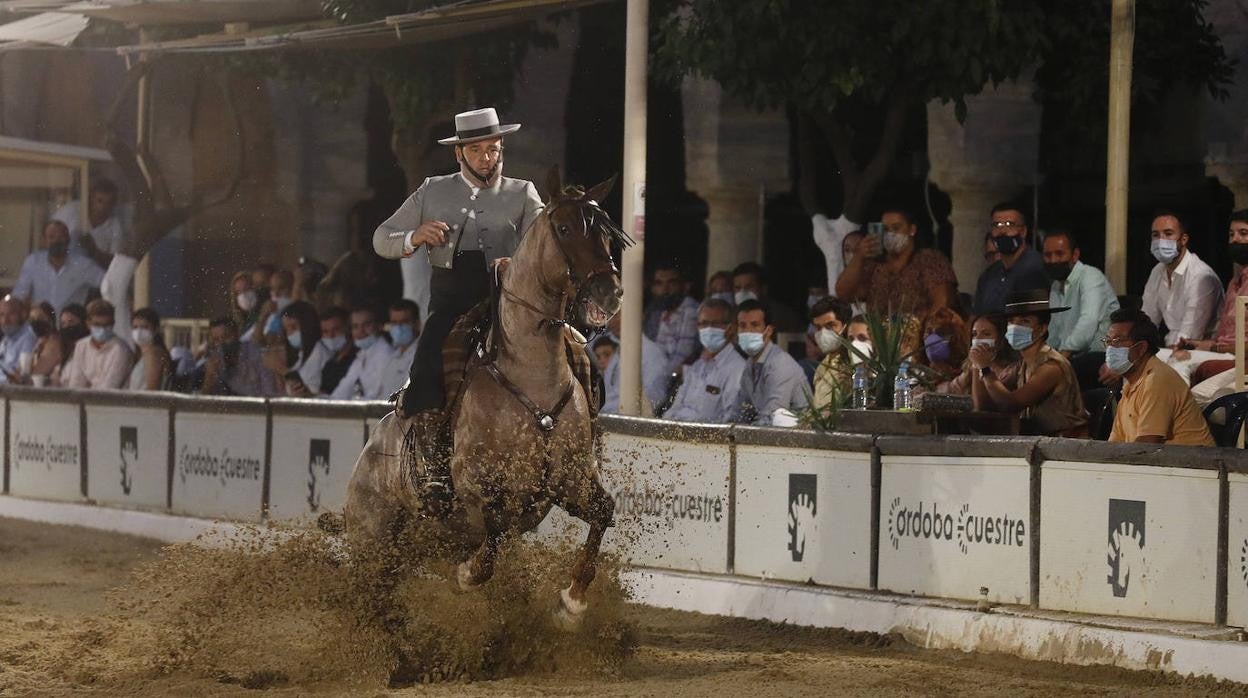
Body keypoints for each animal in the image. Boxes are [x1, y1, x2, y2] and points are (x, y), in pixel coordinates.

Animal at [331, 172, 628, 631]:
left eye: (607, 233)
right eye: (564, 228)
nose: (608, 292)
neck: (530, 378)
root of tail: (369, 456)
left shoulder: (570, 481)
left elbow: (602, 514)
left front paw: (572, 602)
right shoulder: (479, 489)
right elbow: (491, 541)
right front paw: (466, 576)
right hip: (373, 547)